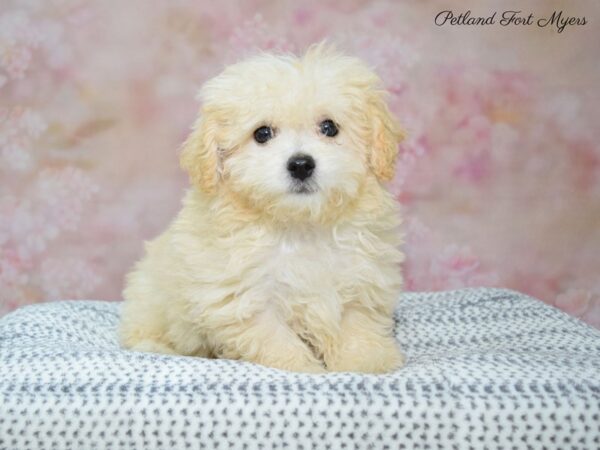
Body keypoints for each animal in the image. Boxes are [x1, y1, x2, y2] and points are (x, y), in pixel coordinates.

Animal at [119, 43, 406, 372]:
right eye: (262, 133)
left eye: (329, 127)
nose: (301, 164)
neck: (298, 226)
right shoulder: (242, 298)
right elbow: (274, 338)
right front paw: (302, 367)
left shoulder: (361, 278)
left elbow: (356, 325)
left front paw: (367, 362)